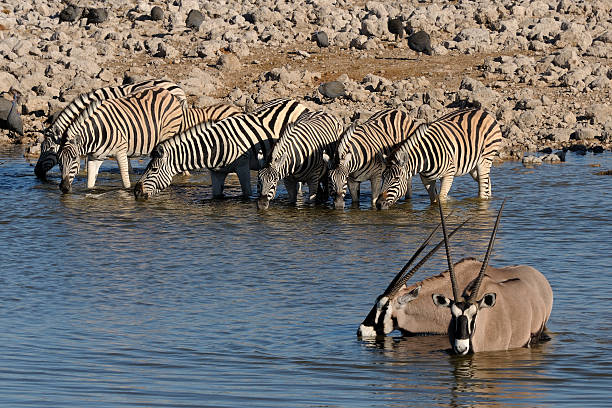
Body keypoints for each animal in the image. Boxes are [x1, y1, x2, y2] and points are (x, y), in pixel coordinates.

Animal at [136, 99, 314, 201]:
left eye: (153, 169)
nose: (136, 192)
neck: (213, 146)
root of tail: (297, 102)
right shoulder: (216, 172)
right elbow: (216, 196)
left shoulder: (242, 167)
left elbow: (246, 194)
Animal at [376, 108, 504, 209]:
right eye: (383, 177)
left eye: (396, 179)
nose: (378, 204)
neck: (425, 158)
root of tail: (482, 111)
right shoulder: (426, 179)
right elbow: (433, 200)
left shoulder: (448, 174)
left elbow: (441, 199)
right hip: (472, 165)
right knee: (487, 182)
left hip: (485, 158)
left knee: (483, 187)